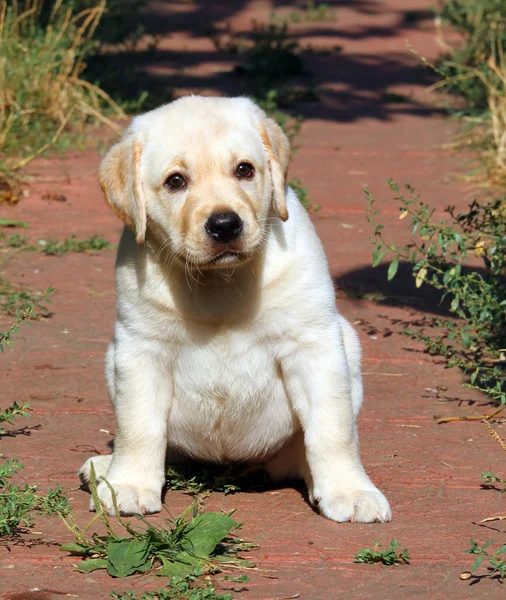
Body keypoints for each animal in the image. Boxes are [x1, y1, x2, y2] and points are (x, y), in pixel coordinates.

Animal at [80, 96, 392, 524]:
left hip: (348, 342)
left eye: (244, 170)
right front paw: (127, 483)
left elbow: (333, 428)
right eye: (175, 181)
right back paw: (104, 467)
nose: (225, 224)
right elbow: (139, 426)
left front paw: (350, 490)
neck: (218, 282)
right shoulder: (140, 349)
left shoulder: (314, 345)